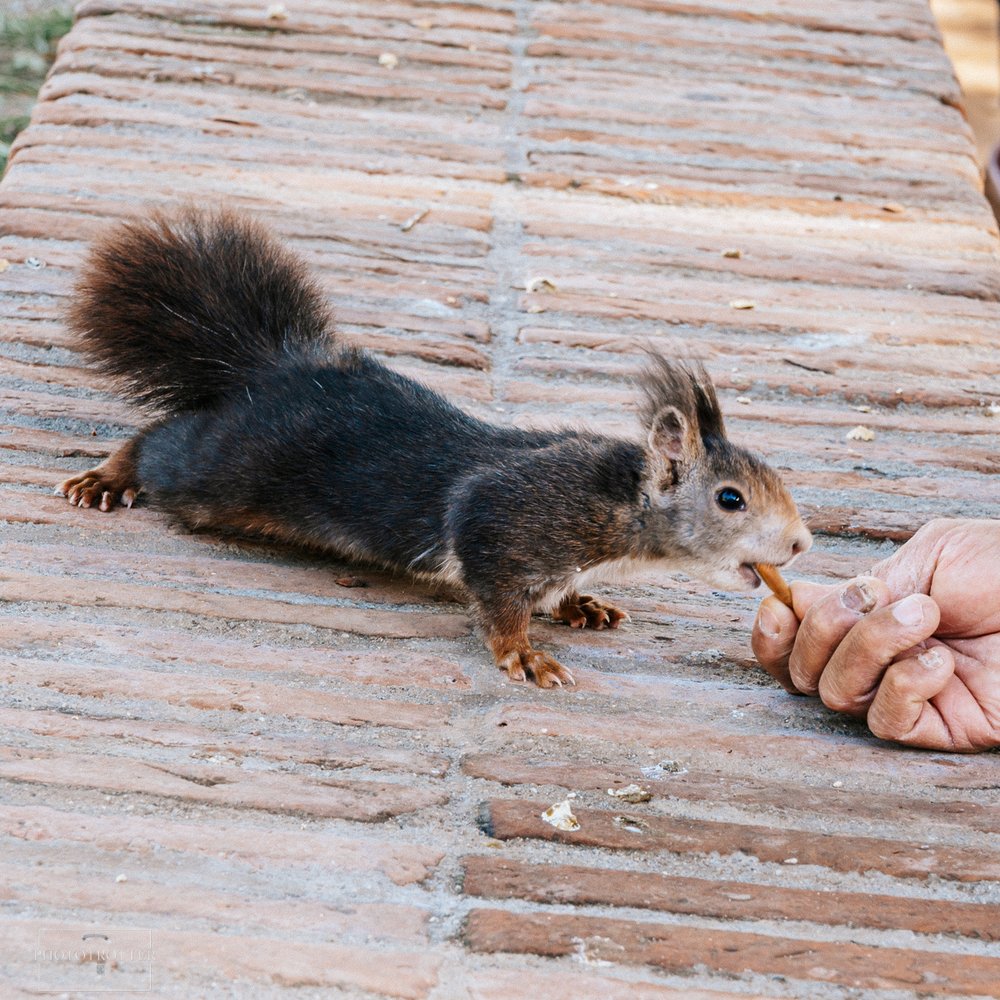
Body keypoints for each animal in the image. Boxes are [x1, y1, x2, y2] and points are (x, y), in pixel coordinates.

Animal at [56, 205, 812, 688]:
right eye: (731, 499)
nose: (802, 544)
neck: (616, 503)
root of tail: (277, 371)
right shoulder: (504, 518)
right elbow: (498, 599)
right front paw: (525, 653)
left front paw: (580, 604)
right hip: (224, 471)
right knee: (163, 442)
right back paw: (107, 478)